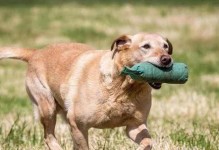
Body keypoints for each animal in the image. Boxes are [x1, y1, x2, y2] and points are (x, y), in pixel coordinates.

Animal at [0, 33, 173, 150]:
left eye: (166, 46)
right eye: (146, 46)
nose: (167, 59)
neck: (124, 88)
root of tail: (35, 52)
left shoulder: (135, 125)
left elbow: (147, 142)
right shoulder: (77, 124)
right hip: (47, 107)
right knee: (48, 137)